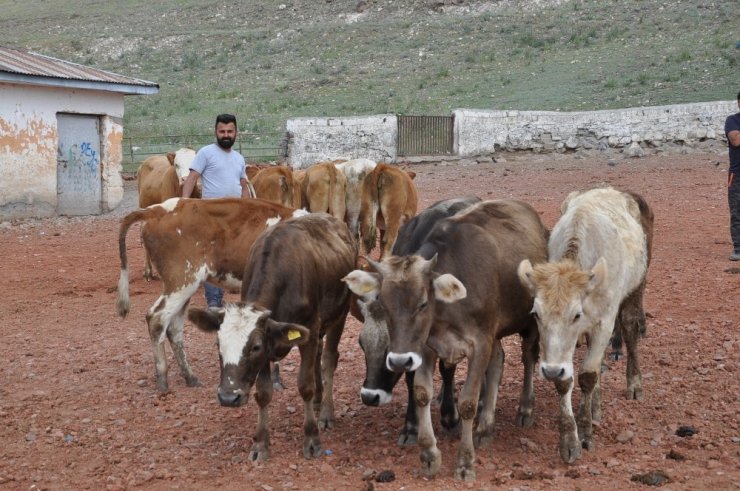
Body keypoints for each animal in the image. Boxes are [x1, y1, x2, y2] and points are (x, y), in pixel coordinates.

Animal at [115, 198, 306, 394]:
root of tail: (157, 209)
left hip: (186, 285)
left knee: (174, 328)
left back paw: (190, 377)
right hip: (180, 280)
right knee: (157, 318)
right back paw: (162, 380)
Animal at [186, 214, 356, 462]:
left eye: (255, 347)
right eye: (218, 343)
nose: (228, 397)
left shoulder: (308, 328)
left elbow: (305, 385)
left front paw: (312, 439)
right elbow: (264, 393)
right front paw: (260, 444)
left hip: (339, 315)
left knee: (328, 360)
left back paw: (326, 412)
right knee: (318, 354)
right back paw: (317, 401)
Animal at [344, 200, 548, 480]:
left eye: (422, 303)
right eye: (384, 305)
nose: (369, 396)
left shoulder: (480, 343)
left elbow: (468, 402)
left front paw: (465, 462)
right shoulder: (426, 348)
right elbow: (421, 393)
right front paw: (429, 455)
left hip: (528, 324)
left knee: (528, 357)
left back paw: (525, 409)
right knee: (498, 362)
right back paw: (485, 428)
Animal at [516, 187, 652, 466]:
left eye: (576, 314)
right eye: (536, 313)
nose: (550, 370)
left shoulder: (604, 323)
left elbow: (588, 375)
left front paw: (586, 431)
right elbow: (566, 380)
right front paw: (569, 439)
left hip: (636, 289)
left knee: (630, 330)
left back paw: (634, 384)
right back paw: (596, 407)